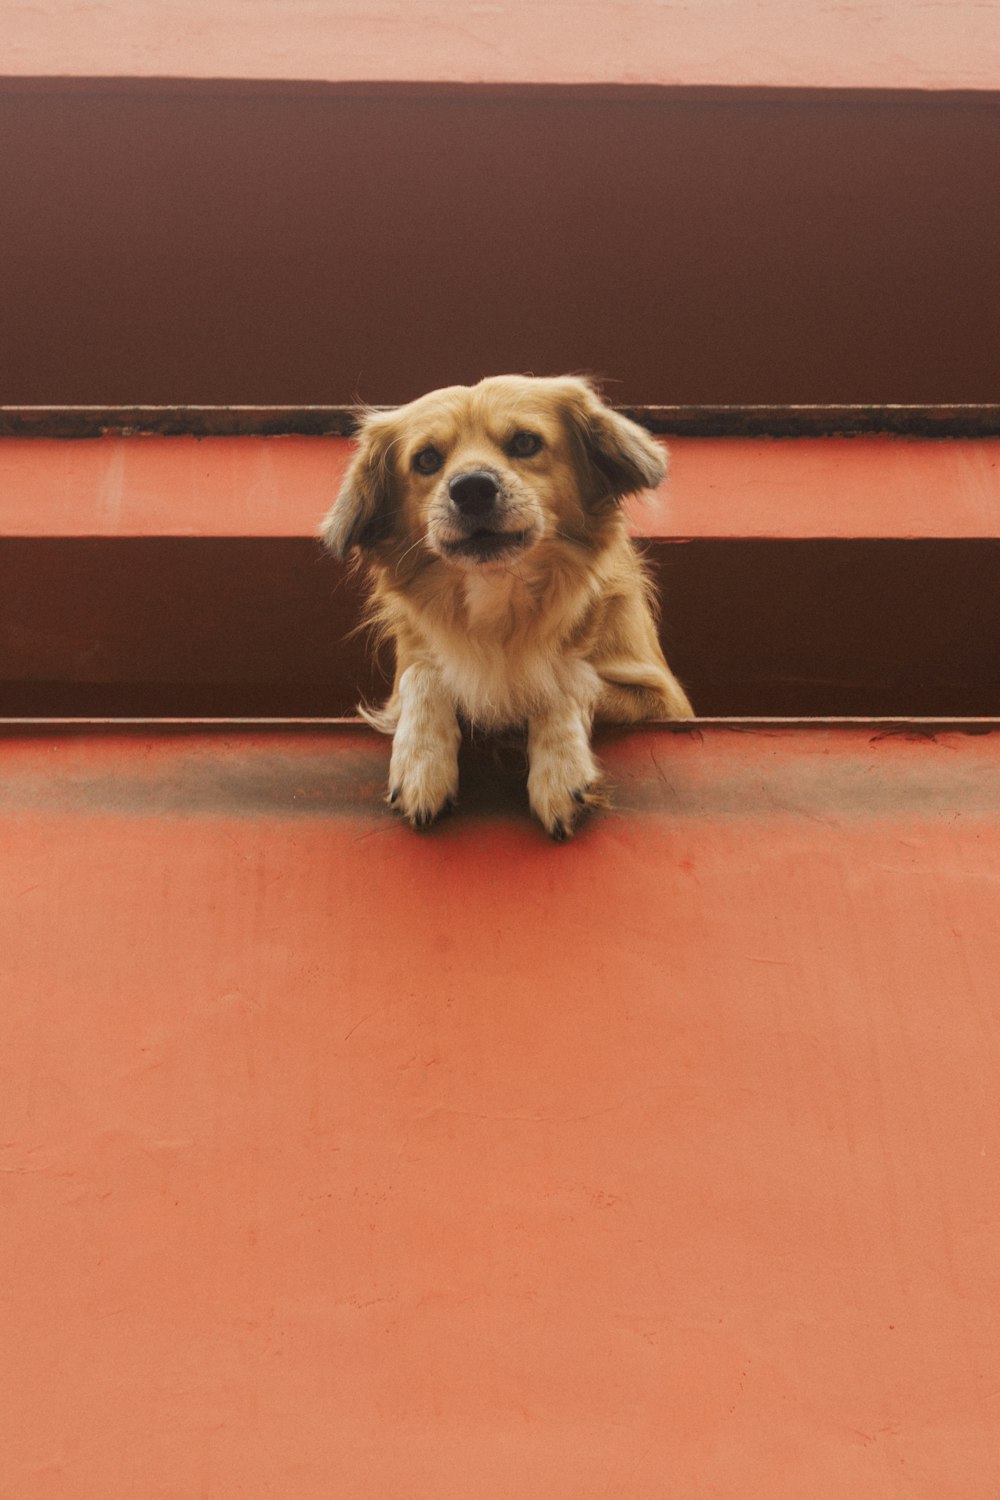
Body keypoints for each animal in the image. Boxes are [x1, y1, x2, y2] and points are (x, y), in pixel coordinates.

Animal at [322, 373, 695, 840]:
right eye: (426, 459)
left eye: (524, 442)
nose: (471, 488)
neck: (501, 593)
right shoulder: (412, 668)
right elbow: (424, 674)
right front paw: (420, 763)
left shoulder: (667, 703)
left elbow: (562, 676)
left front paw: (560, 773)